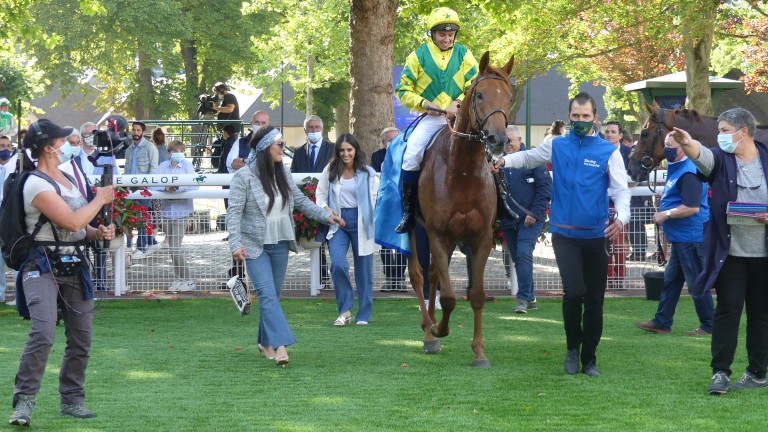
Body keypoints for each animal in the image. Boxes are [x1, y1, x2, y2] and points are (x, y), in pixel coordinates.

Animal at [404, 50, 512, 368]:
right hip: (413, 229)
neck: (461, 171)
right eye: (479, 94)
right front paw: (438, 330)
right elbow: (450, 297)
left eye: (509, 97)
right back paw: (428, 332)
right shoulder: (437, 233)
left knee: (432, 276)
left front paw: (479, 352)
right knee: (418, 275)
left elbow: (474, 294)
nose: (498, 140)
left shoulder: (481, 237)